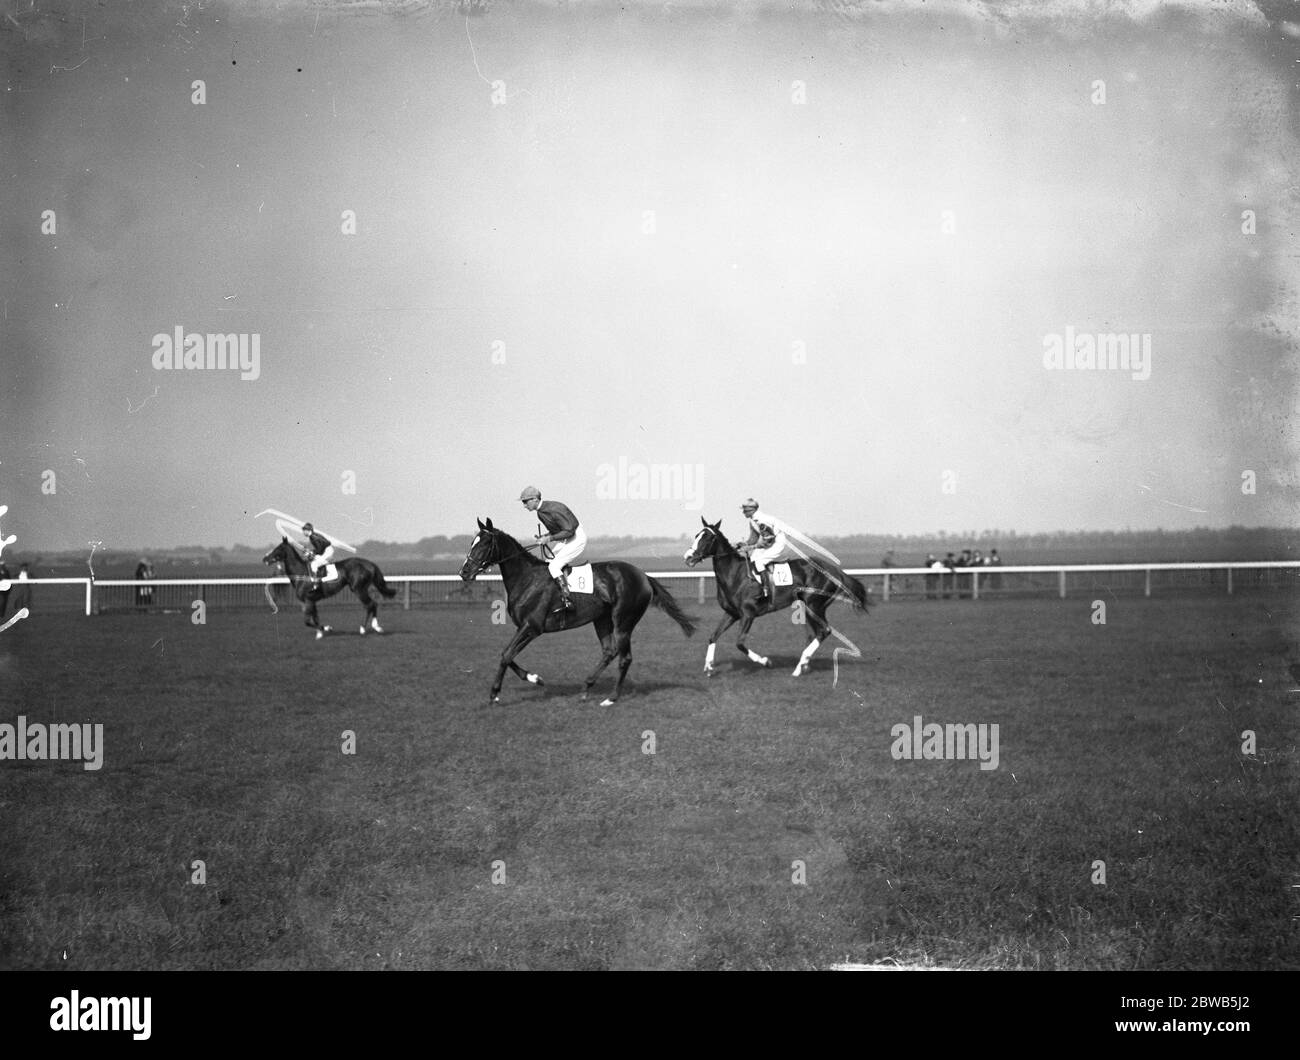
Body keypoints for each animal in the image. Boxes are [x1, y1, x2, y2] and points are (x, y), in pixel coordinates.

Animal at [262, 538, 395, 637]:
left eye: (277, 549)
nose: (264, 559)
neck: (300, 573)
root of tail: (369, 564)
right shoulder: (312, 601)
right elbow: (315, 618)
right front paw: (320, 633)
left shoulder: (308, 600)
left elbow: (307, 621)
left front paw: (327, 628)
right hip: (361, 589)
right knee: (373, 604)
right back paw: (374, 627)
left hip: (358, 589)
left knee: (370, 604)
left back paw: (367, 628)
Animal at [460, 520, 696, 707]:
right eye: (472, 542)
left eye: (484, 543)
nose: (464, 572)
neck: (527, 579)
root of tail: (644, 576)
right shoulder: (525, 627)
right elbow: (506, 654)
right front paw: (535, 678)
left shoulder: (532, 627)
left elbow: (506, 654)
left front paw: (495, 694)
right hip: (601, 619)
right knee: (609, 652)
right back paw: (586, 687)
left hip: (623, 621)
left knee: (625, 658)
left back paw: (611, 698)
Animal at [681, 517, 873, 676]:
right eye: (697, 535)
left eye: (707, 538)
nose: (688, 557)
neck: (734, 575)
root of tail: (835, 570)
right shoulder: (731, 613)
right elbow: (713, 636)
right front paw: (708, 667)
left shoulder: (748, 614)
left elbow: (740, 644)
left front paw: (766, 661)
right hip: (809, 607)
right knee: (815, 633)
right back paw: (803, 664)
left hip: (814, 605)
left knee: (824, 631)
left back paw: (798, 668)